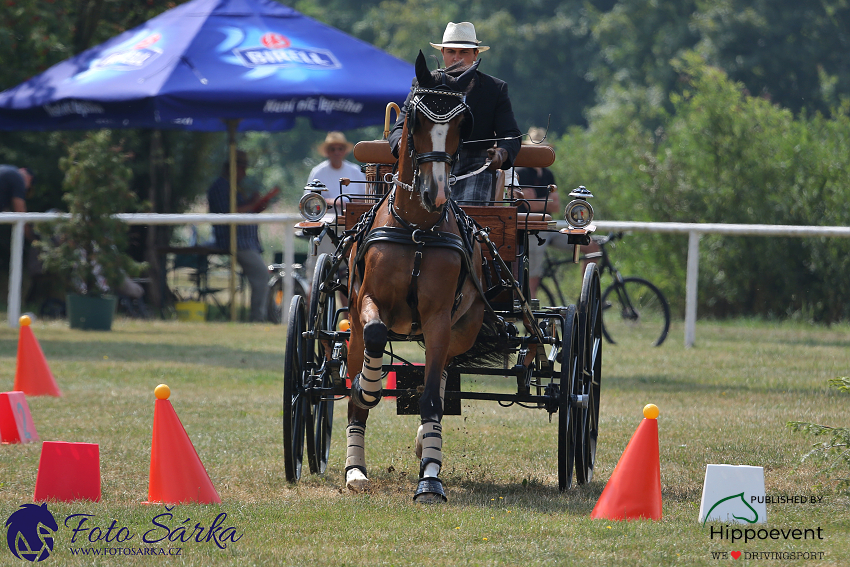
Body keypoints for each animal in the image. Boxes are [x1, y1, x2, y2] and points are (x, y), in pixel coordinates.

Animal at [344, 52, 486, 502]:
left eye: (461, 125)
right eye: (416, 119)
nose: (435, 194)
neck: (417, 229)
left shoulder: (439, 319)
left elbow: (430, 399)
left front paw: (430, 478)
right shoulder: (369, 302)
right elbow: (374, 342)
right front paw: (370, 385)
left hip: (459, 331)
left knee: (436, 380)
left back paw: (427, 443)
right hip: (351, 327)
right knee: (354, 394)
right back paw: (355, 468)